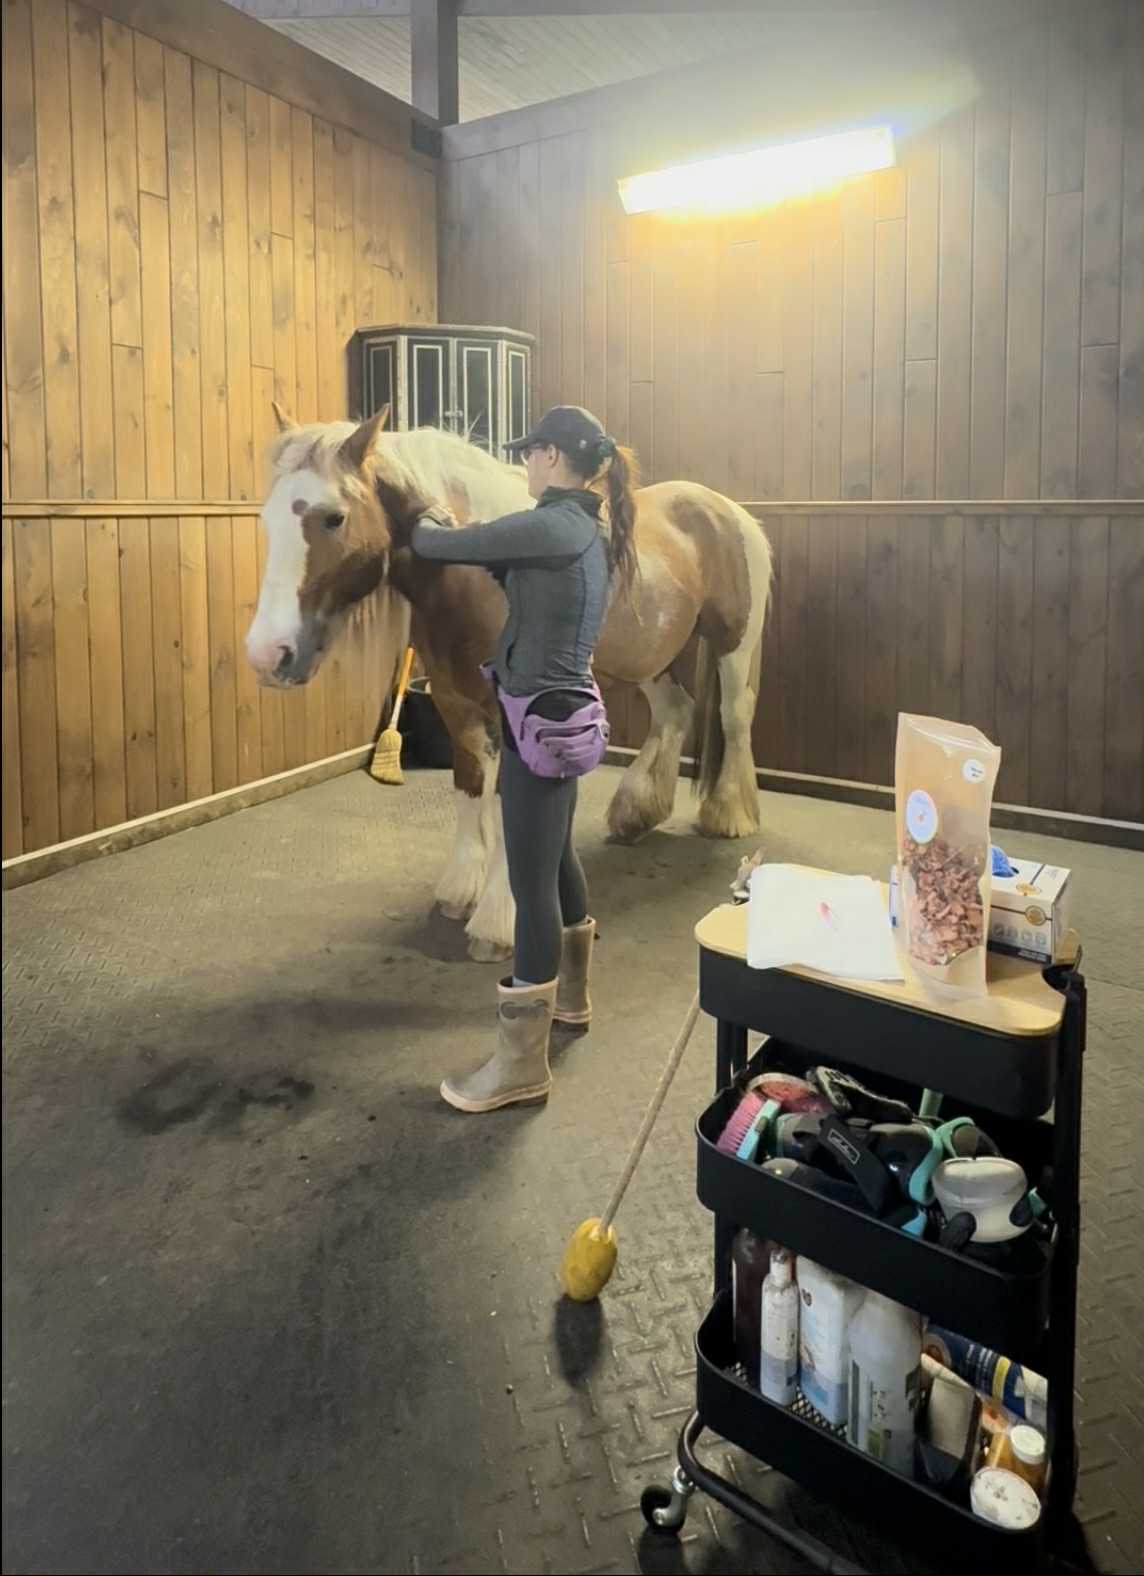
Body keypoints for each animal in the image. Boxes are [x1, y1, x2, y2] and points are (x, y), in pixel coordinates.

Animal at [246, 405, 773, 962]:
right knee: (675, 712)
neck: (476, 572)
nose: (267, 654)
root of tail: (729, 511)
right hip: (650, 657)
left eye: (334, 517)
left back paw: (728, 815)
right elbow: (471, 786)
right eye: (268, 518)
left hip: (733, 646)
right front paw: (459, 892)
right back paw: (636, 813)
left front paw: (497, 921)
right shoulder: (455, 705)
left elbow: (508, 806)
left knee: (734, 718)